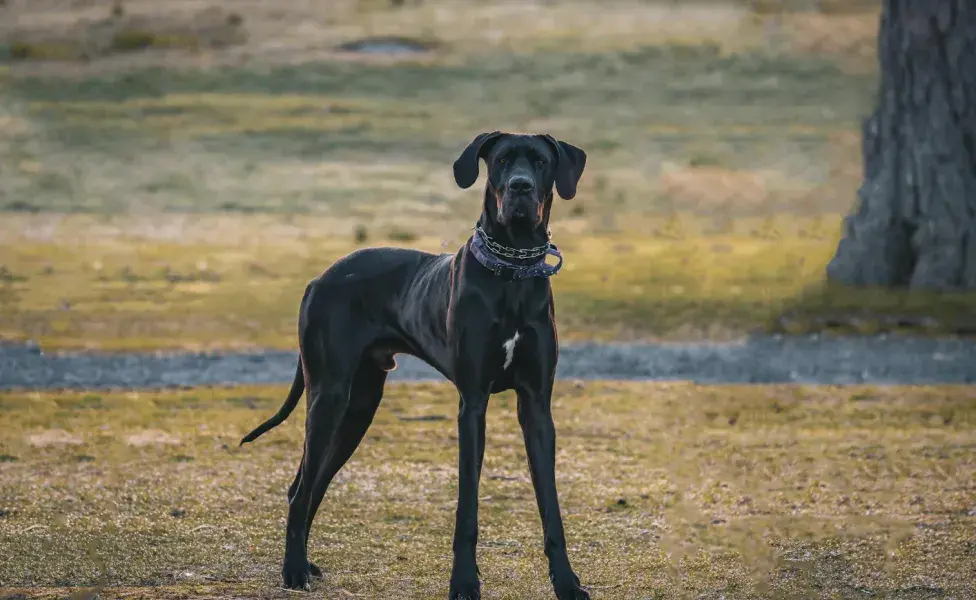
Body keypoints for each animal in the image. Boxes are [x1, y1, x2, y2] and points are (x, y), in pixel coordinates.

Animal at [240, 132, 592, 600]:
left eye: (540, 161)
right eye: (501, 161)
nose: (520, 187)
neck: (512, 269)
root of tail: (319, 278)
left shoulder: (536, 406)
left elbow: (550, 505)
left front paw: (567, 583)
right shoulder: (472, 404)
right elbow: (467, 506)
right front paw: (464, 583)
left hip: (358, 407)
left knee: (308, 484)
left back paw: (304, 563)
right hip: (329, 397)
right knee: (300, 489)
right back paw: (294, 571)